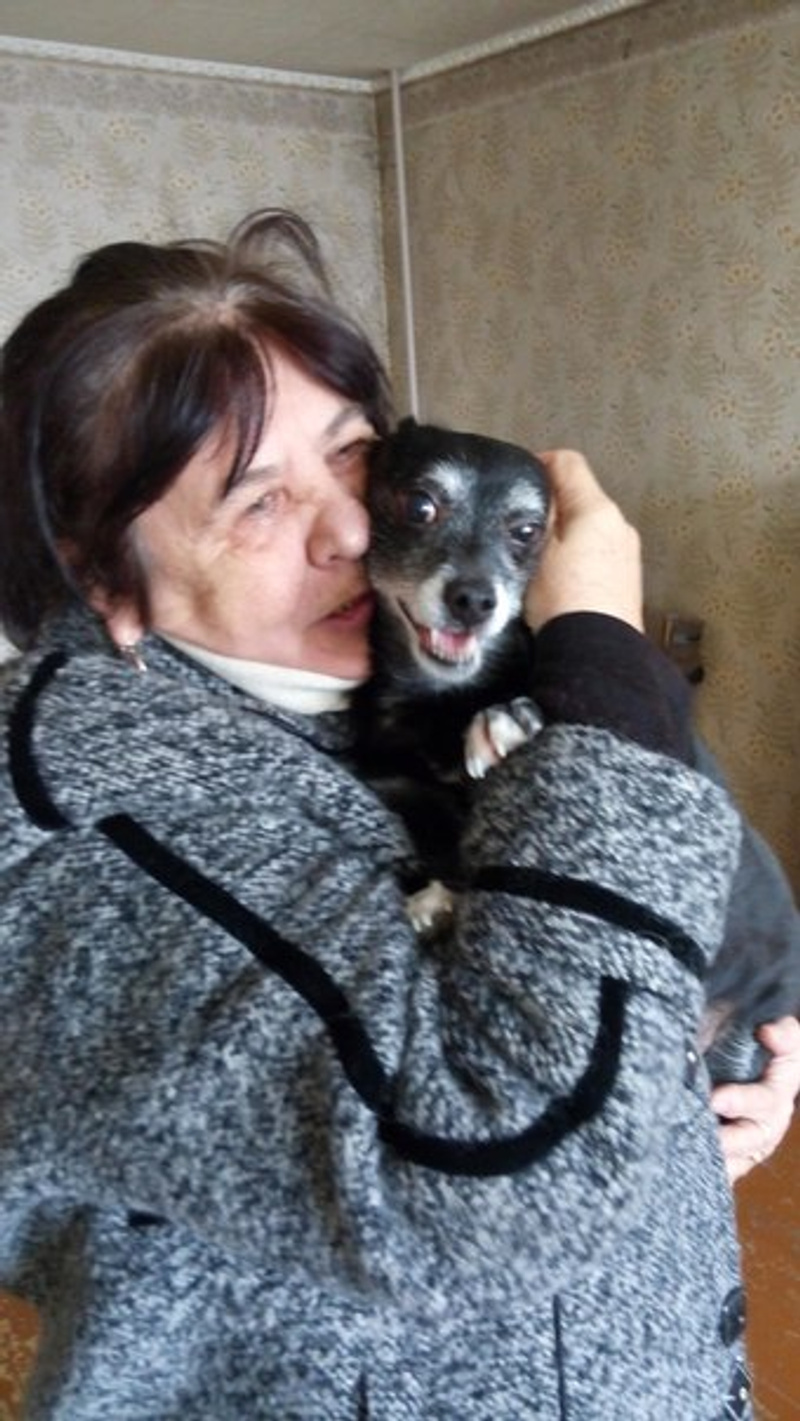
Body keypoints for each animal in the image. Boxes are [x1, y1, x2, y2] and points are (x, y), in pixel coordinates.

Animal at [353, 417, 800, 1084]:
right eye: (420, 506)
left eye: (527, 531)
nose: (474, 599)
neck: (445, 698)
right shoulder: (404, 784)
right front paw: (437, 894)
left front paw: (514, 715)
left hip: (738, 1049)